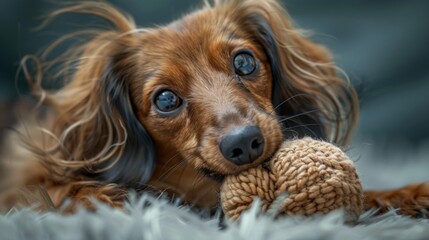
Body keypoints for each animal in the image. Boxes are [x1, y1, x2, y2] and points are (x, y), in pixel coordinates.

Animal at [0, 0, 426, 218]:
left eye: (244, 61)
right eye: (165, 99)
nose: (245, 143)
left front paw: (409, 194)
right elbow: (55, 189)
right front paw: (102, 198)